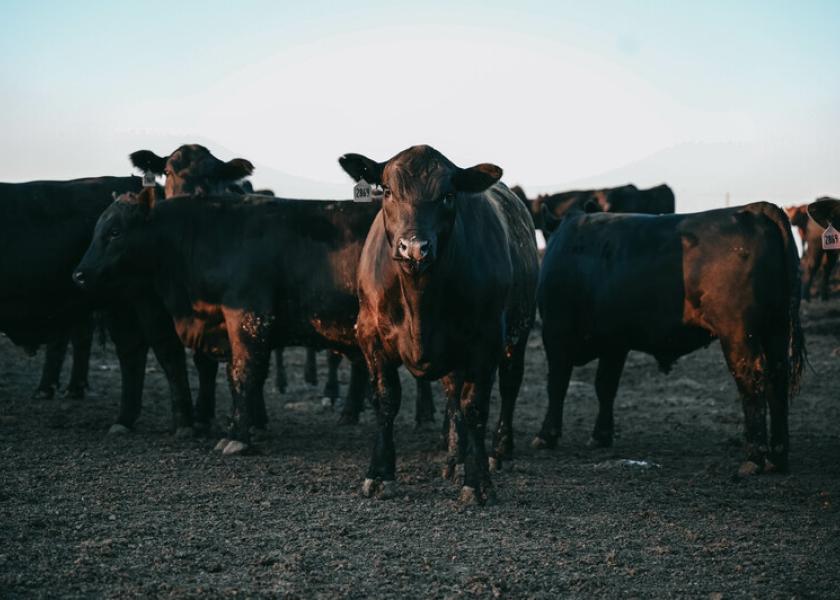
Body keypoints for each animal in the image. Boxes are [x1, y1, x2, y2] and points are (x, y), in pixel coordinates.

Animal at [340, 146, 540, 506]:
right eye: (387, 191)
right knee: (452, 395)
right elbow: (386, 401)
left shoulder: (487, 340)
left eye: (448, 195)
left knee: (509, 386)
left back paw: (500, 451)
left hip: (520, 330)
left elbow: (475, 407)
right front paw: (379, 473)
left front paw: (478, 482)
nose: (414, 247)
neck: (420, 298)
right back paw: (454, 460)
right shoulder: (370, 335)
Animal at [536, 204, 804, 476]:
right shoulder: (615, 343)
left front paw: (546, 435)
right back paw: (777, 458)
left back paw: (754, 458)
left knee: (751, 379)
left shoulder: (556, 331)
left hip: (738, 332)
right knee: (776, 380)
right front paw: (601, 435)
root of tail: (753, 209)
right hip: (776, 328)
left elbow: (557, 384)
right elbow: (605, 386)